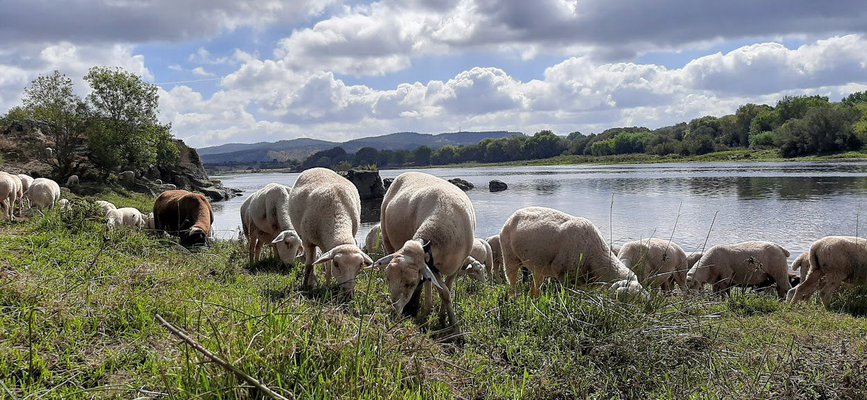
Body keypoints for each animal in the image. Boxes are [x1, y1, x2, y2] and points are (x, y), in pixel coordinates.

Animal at [288, 167, 372, 296]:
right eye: (336, 264)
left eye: (360, 264)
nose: (348, 294)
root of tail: (318, 168)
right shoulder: (308, 242)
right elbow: (309, 265)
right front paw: (305, 286)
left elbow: (327, 266)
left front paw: (327, 285)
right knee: (311, 261)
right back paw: (312, 280)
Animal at [374, 170, 478, 330]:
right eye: (388, 278)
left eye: (410, 283)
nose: (394, 311)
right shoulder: (431, 265)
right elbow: (443, 291)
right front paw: (444, 320)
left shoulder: (455, 266)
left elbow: (446, 292)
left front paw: (450, 322)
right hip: (387, 238)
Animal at [496, 208, 644, 298]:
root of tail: (513, 215)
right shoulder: (563, 273)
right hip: (509, 255)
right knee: (512, 280)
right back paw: (514, 297)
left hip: (535, 264)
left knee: (534, 283)